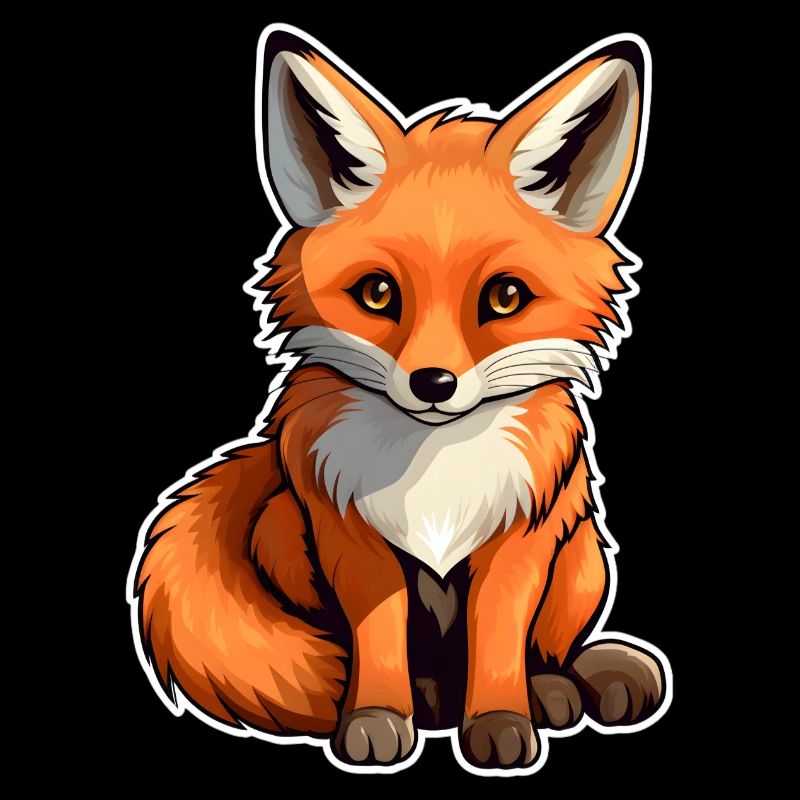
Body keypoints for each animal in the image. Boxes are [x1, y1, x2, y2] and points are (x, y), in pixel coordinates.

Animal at [130, 26, 670, 775]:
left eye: (505, 297)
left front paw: (501, 719)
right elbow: (378, 636)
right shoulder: (350, 538)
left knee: (547, 652)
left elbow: (498, 640)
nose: (433, 384)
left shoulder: (520, 541)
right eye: (378, 293)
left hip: (583, 556)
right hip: (281, 526)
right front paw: (379, 717)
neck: (433, 470)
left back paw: (559, 686)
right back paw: (437, 696)